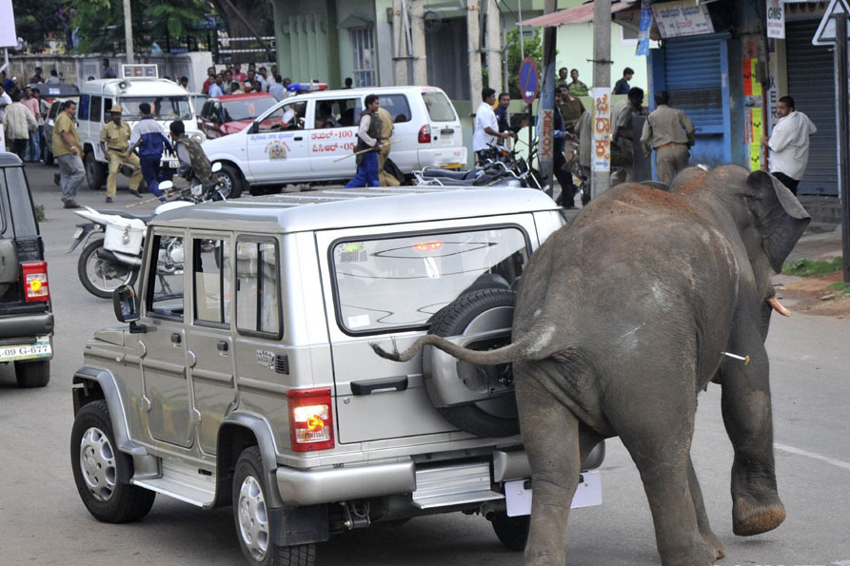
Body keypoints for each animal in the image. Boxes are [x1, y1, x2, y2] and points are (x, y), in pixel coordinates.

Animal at [372, 165, 808, 566]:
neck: (694, 188)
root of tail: (558, 312)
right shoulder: (738, 295)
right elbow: (748, 382)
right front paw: (760, 522)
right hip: (644, 357)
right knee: (662, 450)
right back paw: (694, 559)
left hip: (546, 374)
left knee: (555, 463)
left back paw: (545, 559)